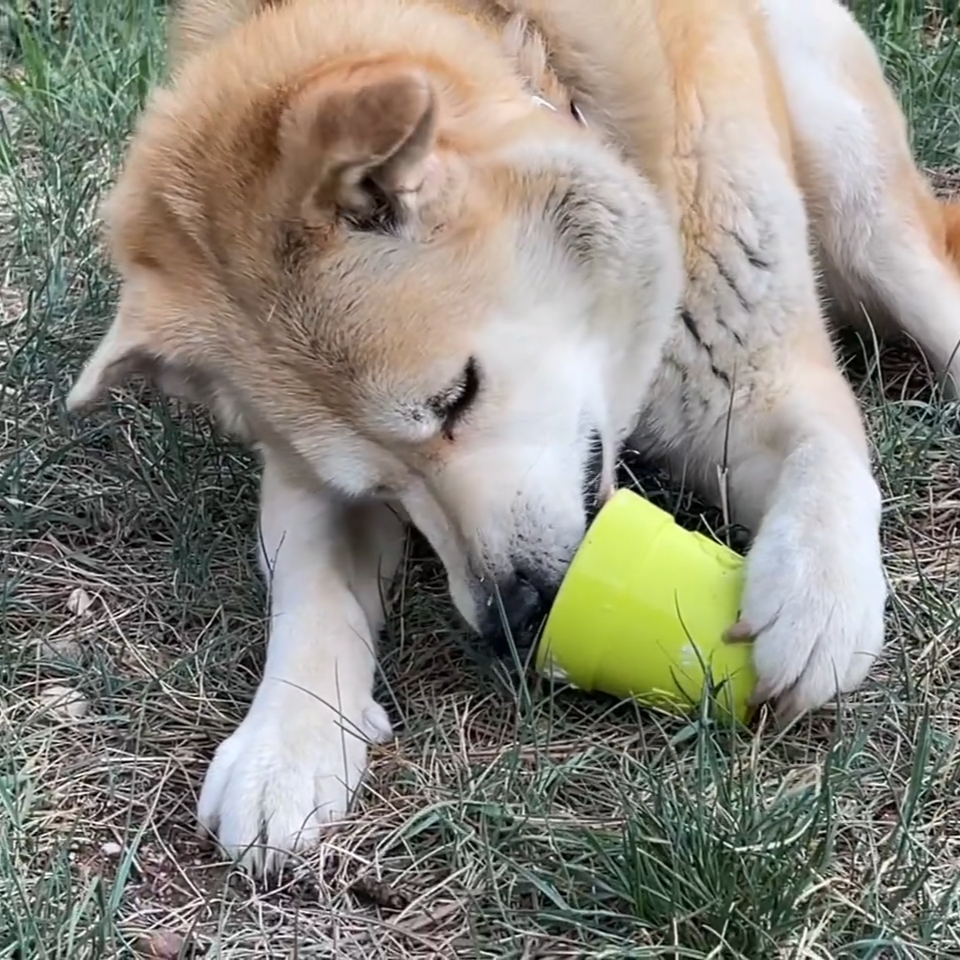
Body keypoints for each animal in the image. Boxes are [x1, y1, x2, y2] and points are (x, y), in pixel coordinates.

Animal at [65, 0, 960, 876]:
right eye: (380, 485)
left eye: (456, 395)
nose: (514, 616)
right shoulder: (305, 483)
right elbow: (313, 591)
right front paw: (289, 738)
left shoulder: (759, 380)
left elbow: (826, 459)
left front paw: (818, 594)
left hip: (861, 200)